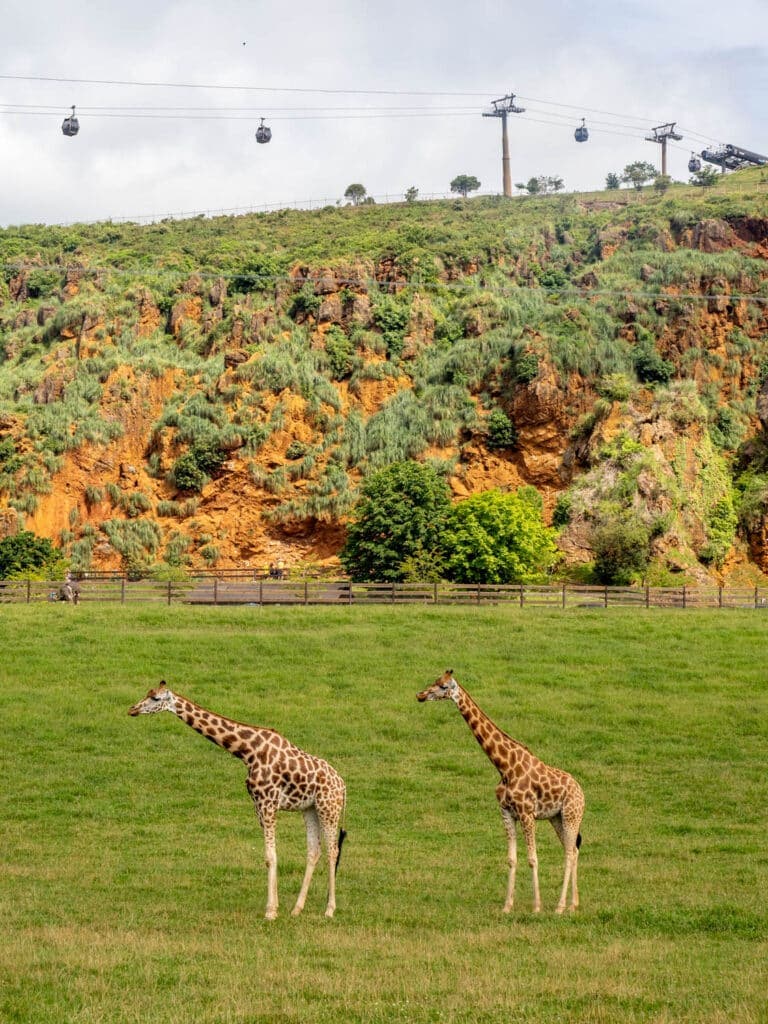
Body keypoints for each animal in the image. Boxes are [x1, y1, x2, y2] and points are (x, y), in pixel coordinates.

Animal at [129, 679, 346, 921]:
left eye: (155, 698)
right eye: (147, 693)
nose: (132, 710)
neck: (247, 751)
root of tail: (343, 786)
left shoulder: (268, 802)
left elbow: (270, 856)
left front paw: (270, 911)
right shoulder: (258, 805)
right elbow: (271, 855)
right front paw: (276, 907)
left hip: (329, 807)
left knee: (332, 851)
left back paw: (329, 909)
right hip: (310, 809)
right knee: (314, 851)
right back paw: (297, 909)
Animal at [417, 671, 585, 913]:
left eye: (443, 686)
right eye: (434, 681)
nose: (420, 695)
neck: (505, 766)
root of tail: (582, 792)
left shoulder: (526, 813)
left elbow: (533, 858)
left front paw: (536, 907)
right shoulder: (506, 813)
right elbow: (511, 859)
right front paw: (507, 906)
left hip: (572, 815)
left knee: (570, 852)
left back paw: (560, 907)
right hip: (556, 818)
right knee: (572, 850)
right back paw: (573, 904)